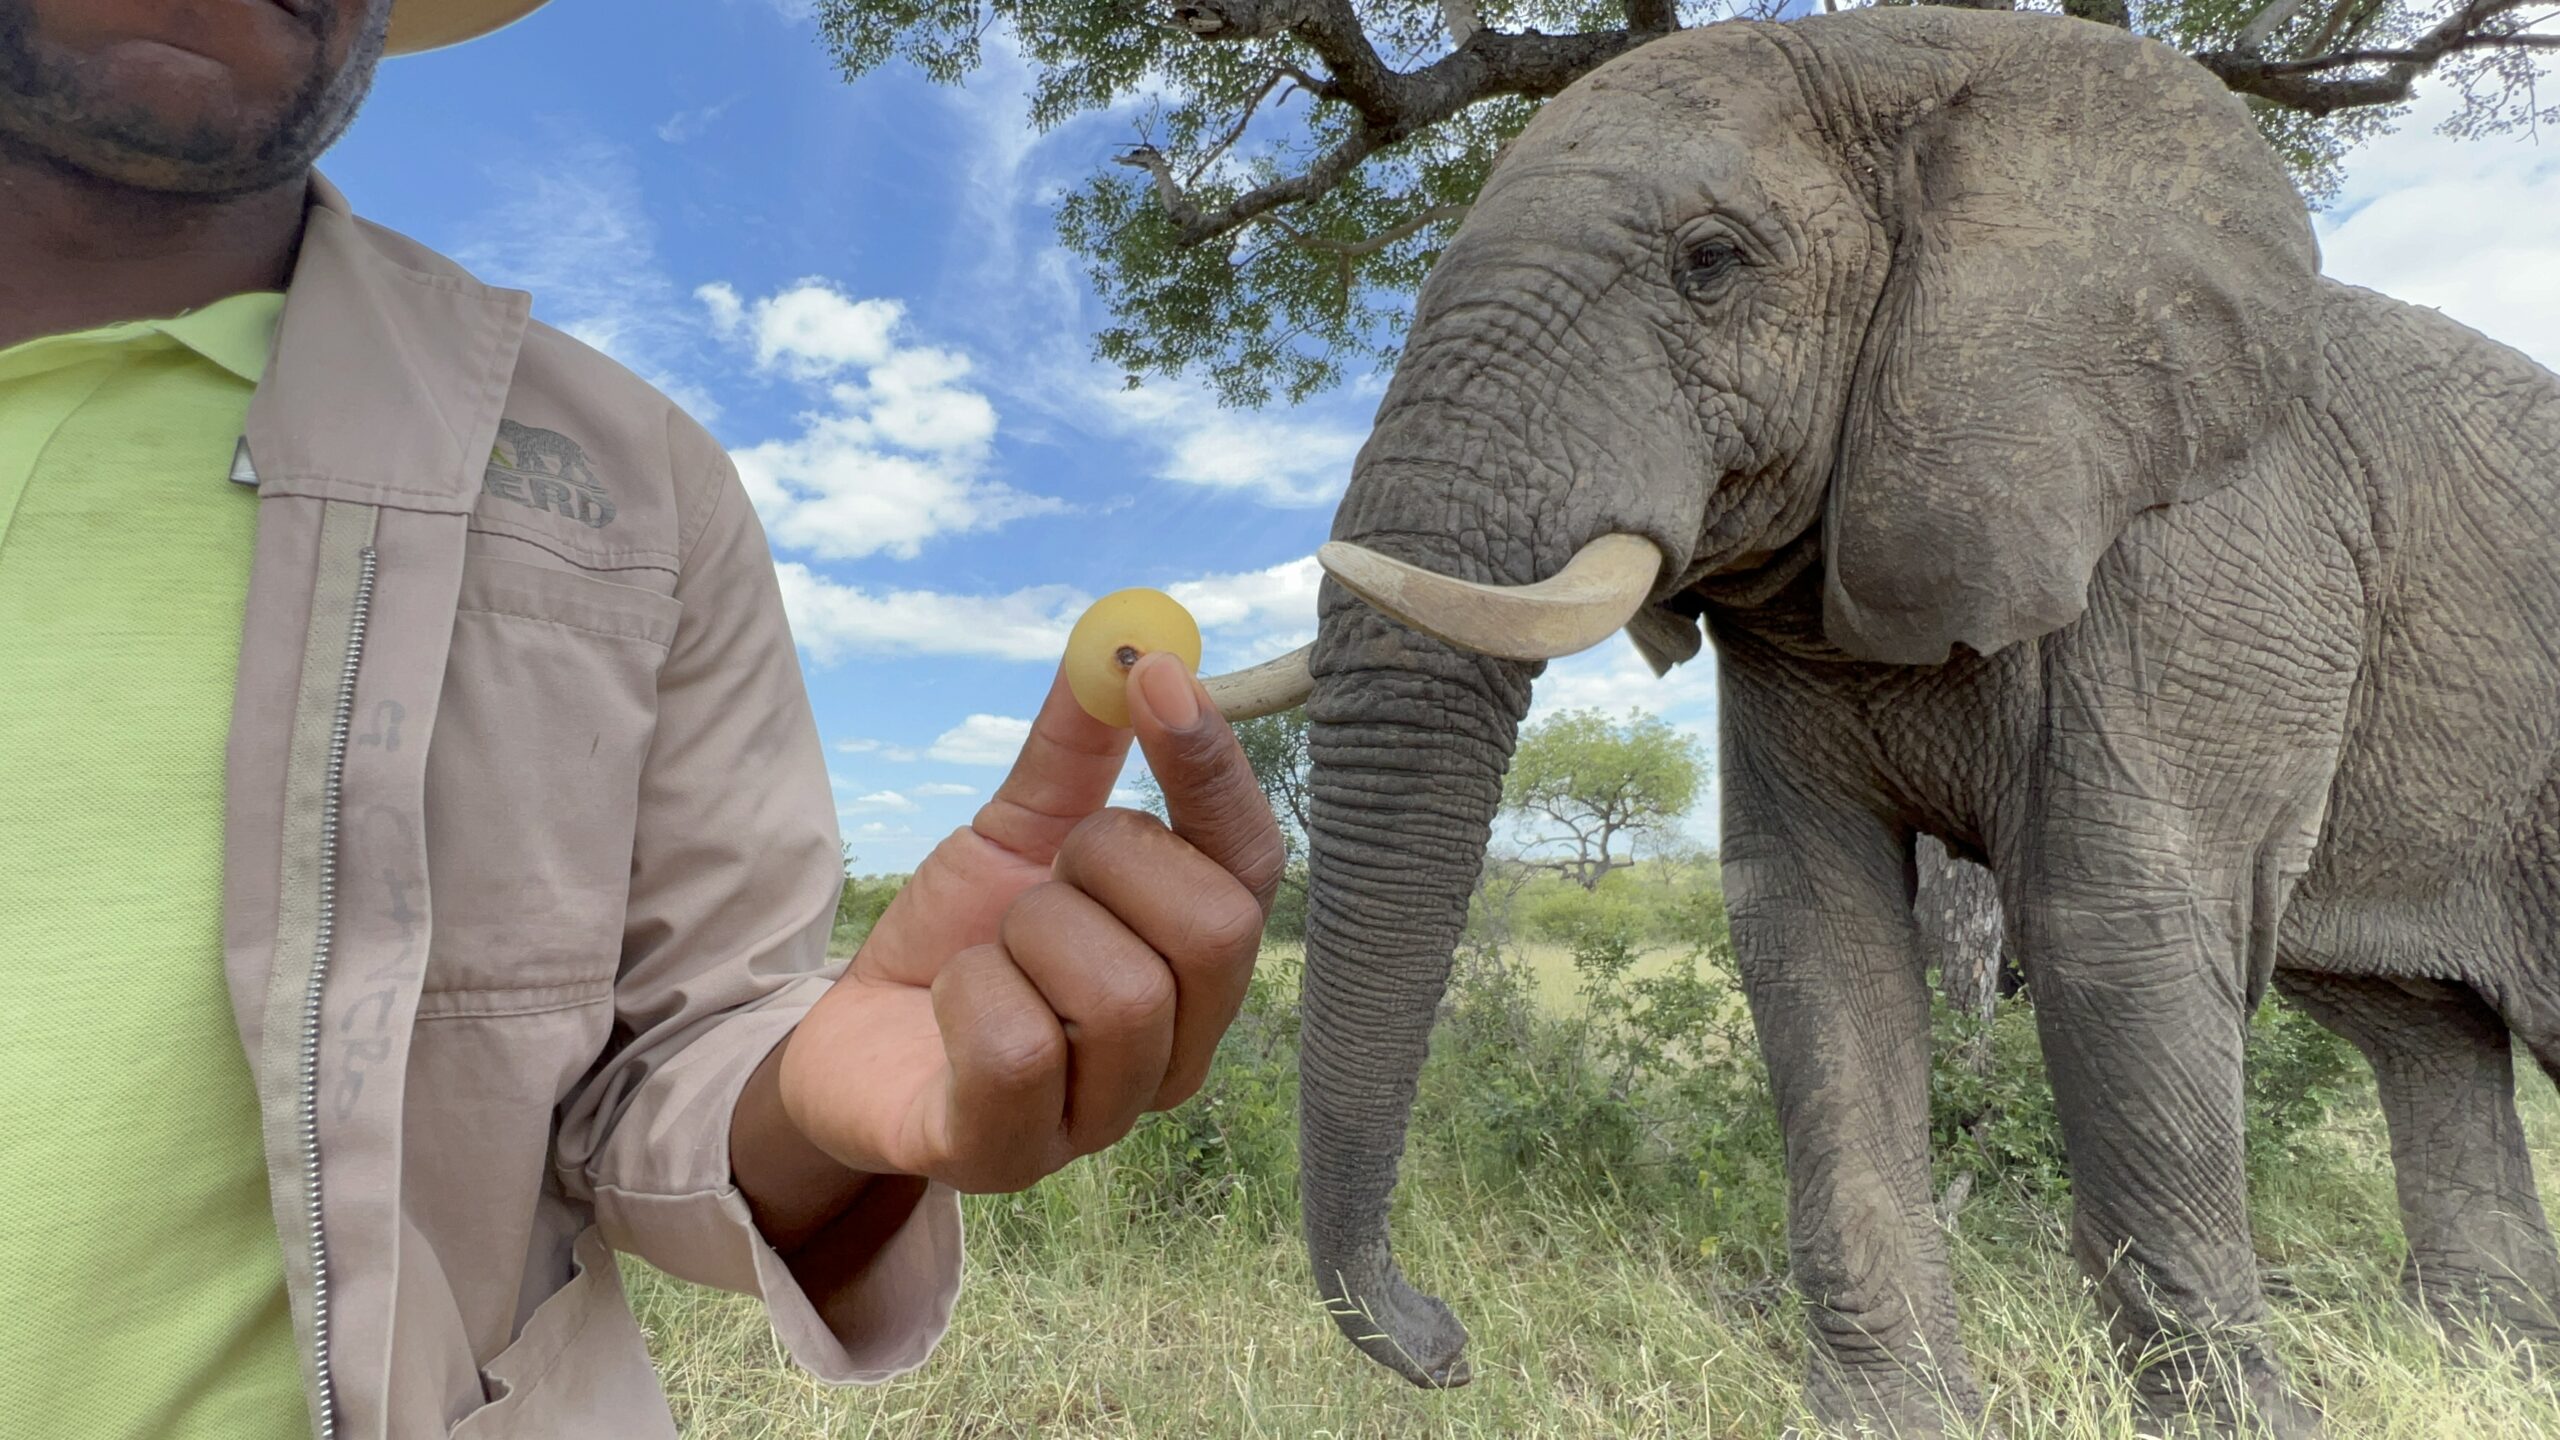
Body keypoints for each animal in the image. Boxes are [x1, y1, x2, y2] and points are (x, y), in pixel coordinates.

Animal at [1287, 8, 2560, 1437]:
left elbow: (2114, 928)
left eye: (1709, 263)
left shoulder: (2207, 558)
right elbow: (1811, 930)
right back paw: (2496, 1366)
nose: (1444, 1340)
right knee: (2428, 1041)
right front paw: (1893, 1418)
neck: (1912, 62)